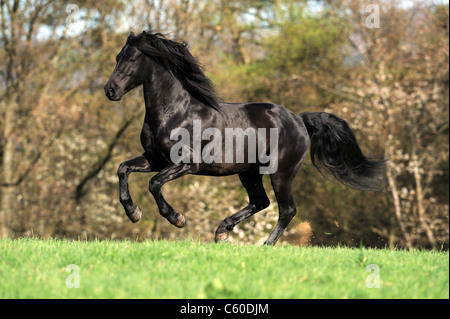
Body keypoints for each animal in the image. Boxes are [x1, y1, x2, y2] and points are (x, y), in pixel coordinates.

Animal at [104, 30, 386, 245]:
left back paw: (265, 244)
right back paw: (222, 232)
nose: (110, 91)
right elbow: (123, 169)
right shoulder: (155, 160)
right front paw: (133, 212)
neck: (175, 112)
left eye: (131, 58)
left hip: (281, 172)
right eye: (117, 57)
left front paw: (176, 218)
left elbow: (154, 184)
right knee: (260, 201)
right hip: (249, 172)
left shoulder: (185, 164)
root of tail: (299, 119)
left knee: (286, 209)